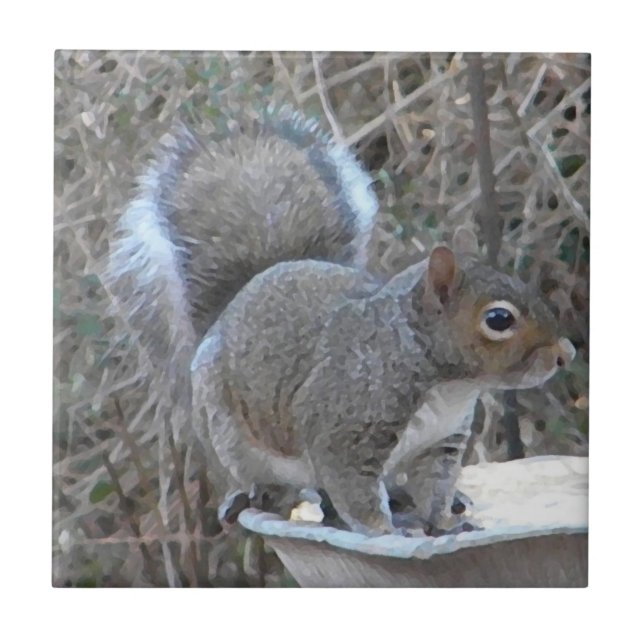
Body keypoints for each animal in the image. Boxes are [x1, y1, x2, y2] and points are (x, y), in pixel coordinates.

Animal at [108, 106, 576, 537]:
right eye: (498, 319)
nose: (564, 355)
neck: (446, 384)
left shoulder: (440, 443)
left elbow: (435, 489)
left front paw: (445, 523)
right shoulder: (344, 429)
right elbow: (357, 496)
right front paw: (389, 533)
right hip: (230, 435)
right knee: (277, 484)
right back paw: (259, 495)